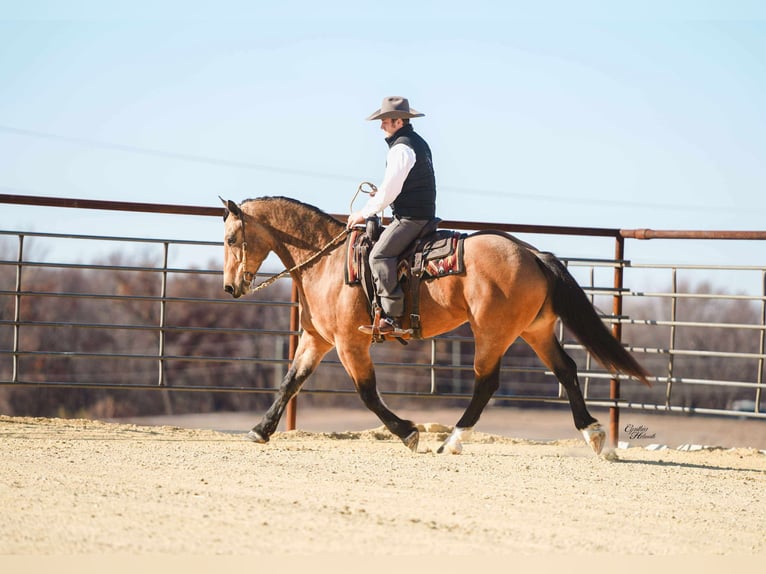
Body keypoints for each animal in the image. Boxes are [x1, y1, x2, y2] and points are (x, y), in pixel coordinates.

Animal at [220, 196, 651, 455]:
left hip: (492, 332)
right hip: (536, 330)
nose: (229, 287)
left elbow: (368, 394)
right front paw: (260, 429)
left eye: (230, 238)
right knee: (566, 369)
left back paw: (453, 440)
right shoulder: (316, 340)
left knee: (486, 382)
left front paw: (409, 433)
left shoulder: (349, 344)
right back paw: (594, 434)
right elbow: (289, 382)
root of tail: (531, 253)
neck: (325, 262)